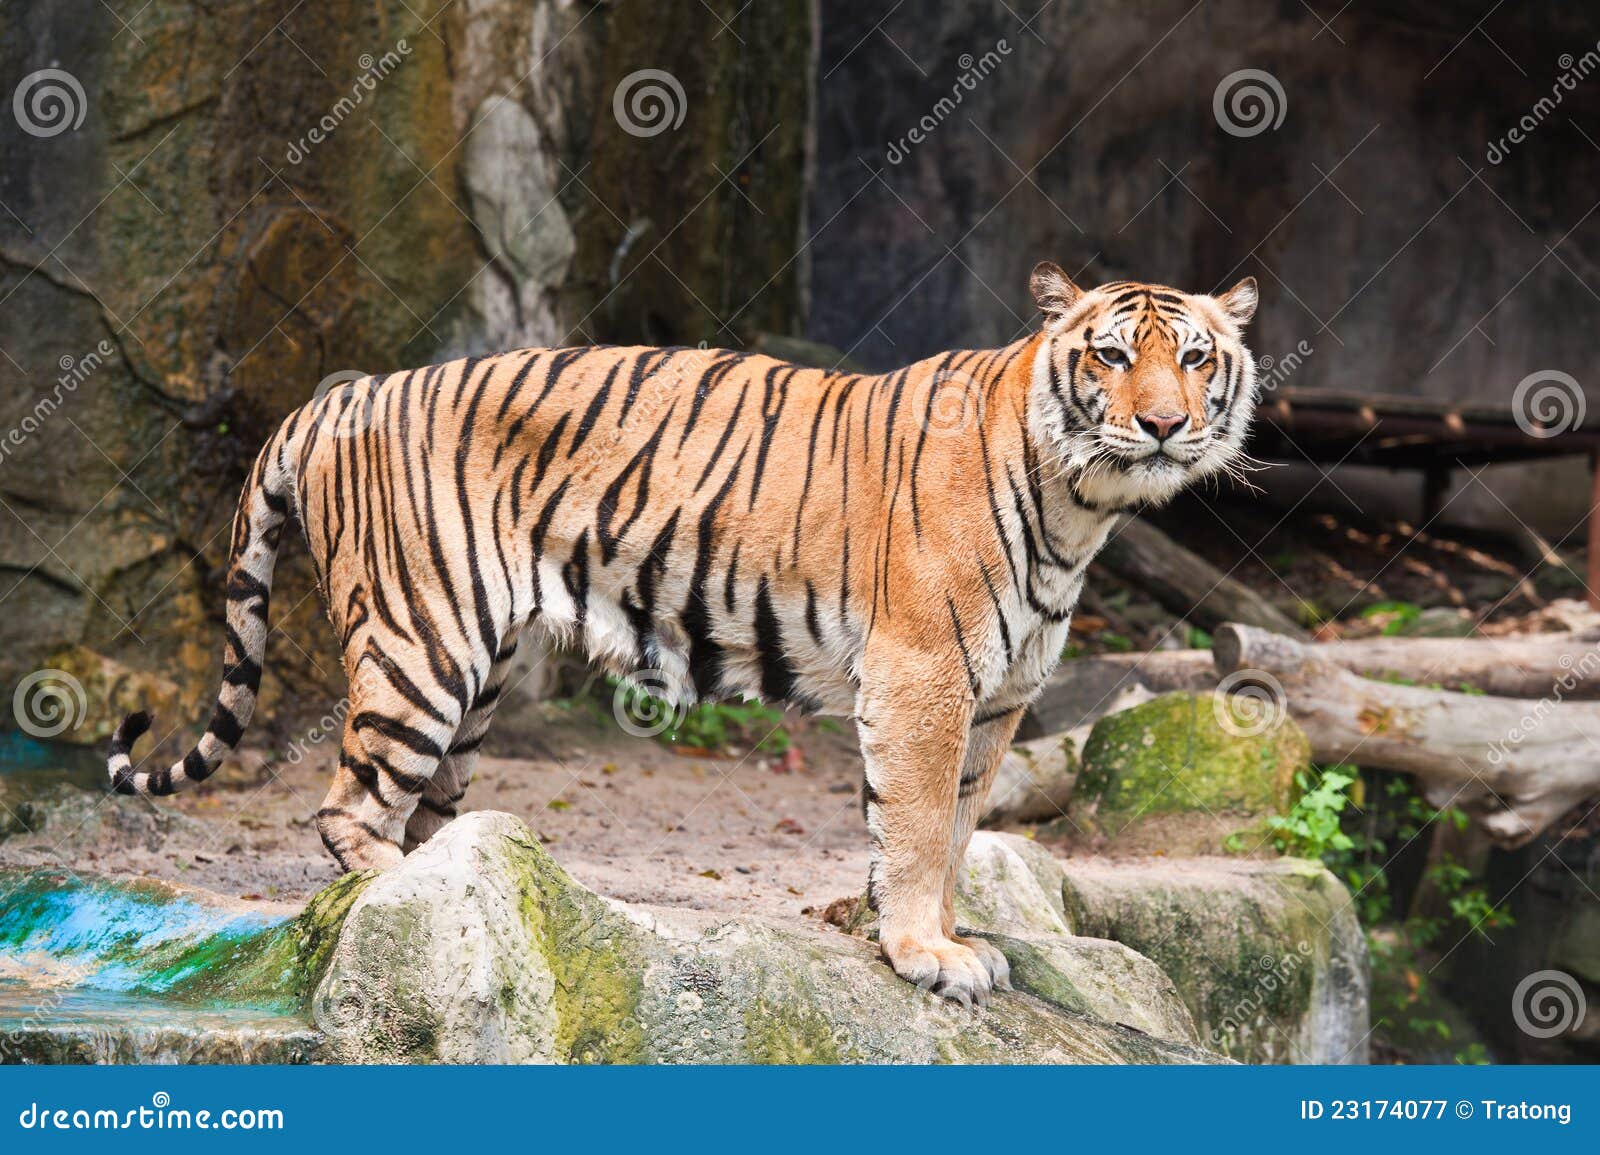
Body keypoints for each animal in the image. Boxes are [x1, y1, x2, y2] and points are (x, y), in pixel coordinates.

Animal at [106, 262, 1259, 1006]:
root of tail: (334, 401)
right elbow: (922, 823)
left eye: (1199, 360)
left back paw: (468, 889)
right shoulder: (924, 674)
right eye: (1111, 355)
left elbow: (957, 828)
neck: (1083, 506)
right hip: (420, 643)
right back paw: (399, 894)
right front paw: (925, 953)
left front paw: (921, 932)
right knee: (349, 808)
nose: (1163, 423)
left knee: (429, 814)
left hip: (474, 680)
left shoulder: (1000, 695)